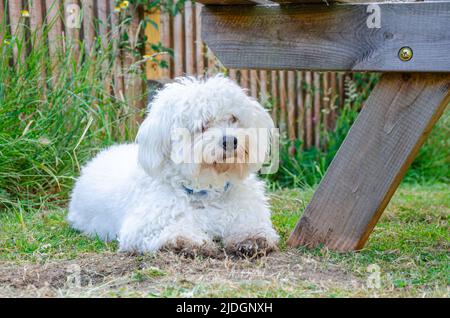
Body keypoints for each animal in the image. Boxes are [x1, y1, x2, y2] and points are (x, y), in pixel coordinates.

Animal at [67, 76, 278, 258]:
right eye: (202, 125)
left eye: (233, 118)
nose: (230, 141)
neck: (207, 190)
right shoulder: (141, 228)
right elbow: (175, 231)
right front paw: (188, 241)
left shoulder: (248, 216)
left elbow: (253, 229)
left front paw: (251, 239)